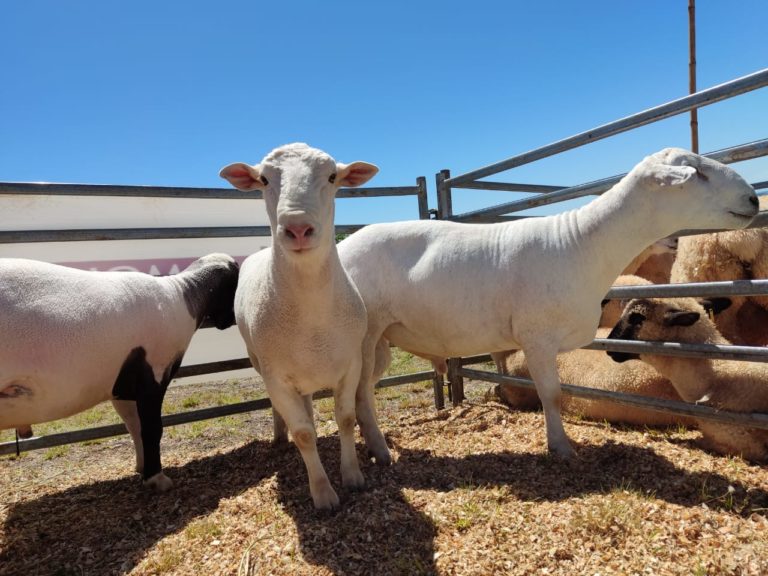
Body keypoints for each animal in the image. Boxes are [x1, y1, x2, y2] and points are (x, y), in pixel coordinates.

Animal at [0, 253, 240, 490]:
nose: (231, 320)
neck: (183, 293)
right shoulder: (152, 374)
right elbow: (152, 429)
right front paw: (157, 478)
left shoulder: (122, 386)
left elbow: (134, 426)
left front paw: (142, 468)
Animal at [219, 143, 388, 508]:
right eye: (264, 179)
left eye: (333, 176)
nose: (297, 229)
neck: (312, 321)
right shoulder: (278, 377)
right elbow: (304, 434)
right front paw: (323, 492)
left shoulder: (350, 364)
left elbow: (346, 418)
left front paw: (352, 476)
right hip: (261, 363)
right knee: (292, 418)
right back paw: (279, 436)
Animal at [340, 150, 760, 460]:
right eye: (697, 173)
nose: (755, 198)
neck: (583, 242)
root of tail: (343, 246)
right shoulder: (537, 337)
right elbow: (551, 394)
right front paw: (561, 447)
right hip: (363, 338)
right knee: (360, 395)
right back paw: (381, 452)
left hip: (381, 342)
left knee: (363, 396)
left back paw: (376, 448)